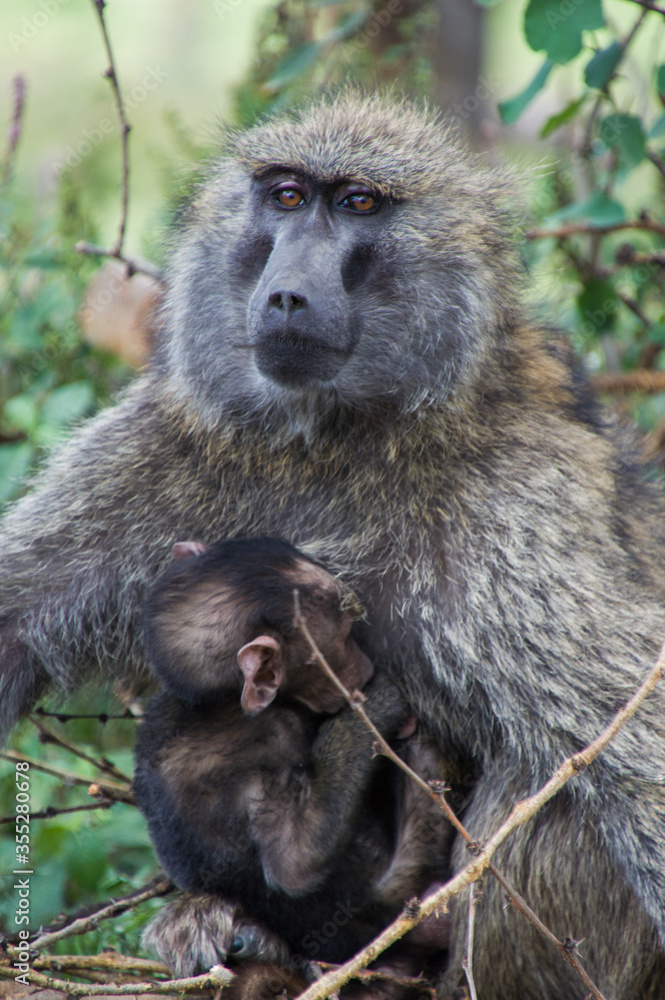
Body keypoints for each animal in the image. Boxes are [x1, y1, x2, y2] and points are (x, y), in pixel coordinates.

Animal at [134, 537, 451, 974]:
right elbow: (294, 862)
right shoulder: (271, 738)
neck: (215, 705)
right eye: (345, 637)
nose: (366, 665)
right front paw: (377, 706)